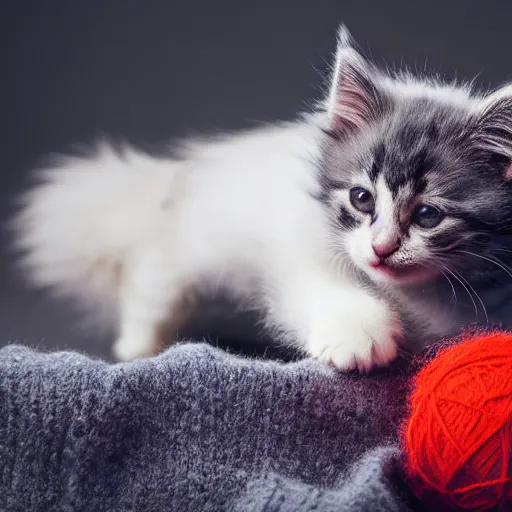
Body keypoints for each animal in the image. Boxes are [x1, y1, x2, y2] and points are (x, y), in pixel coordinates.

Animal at [11, 27, 512, 368]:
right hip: (194, 244)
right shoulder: (297, 250)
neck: (413, 296)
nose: (380, 249)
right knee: (153, 276)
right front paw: (360, 337)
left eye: (427, 215)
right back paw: (139, 345)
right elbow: (322, 287)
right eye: (361, 198)